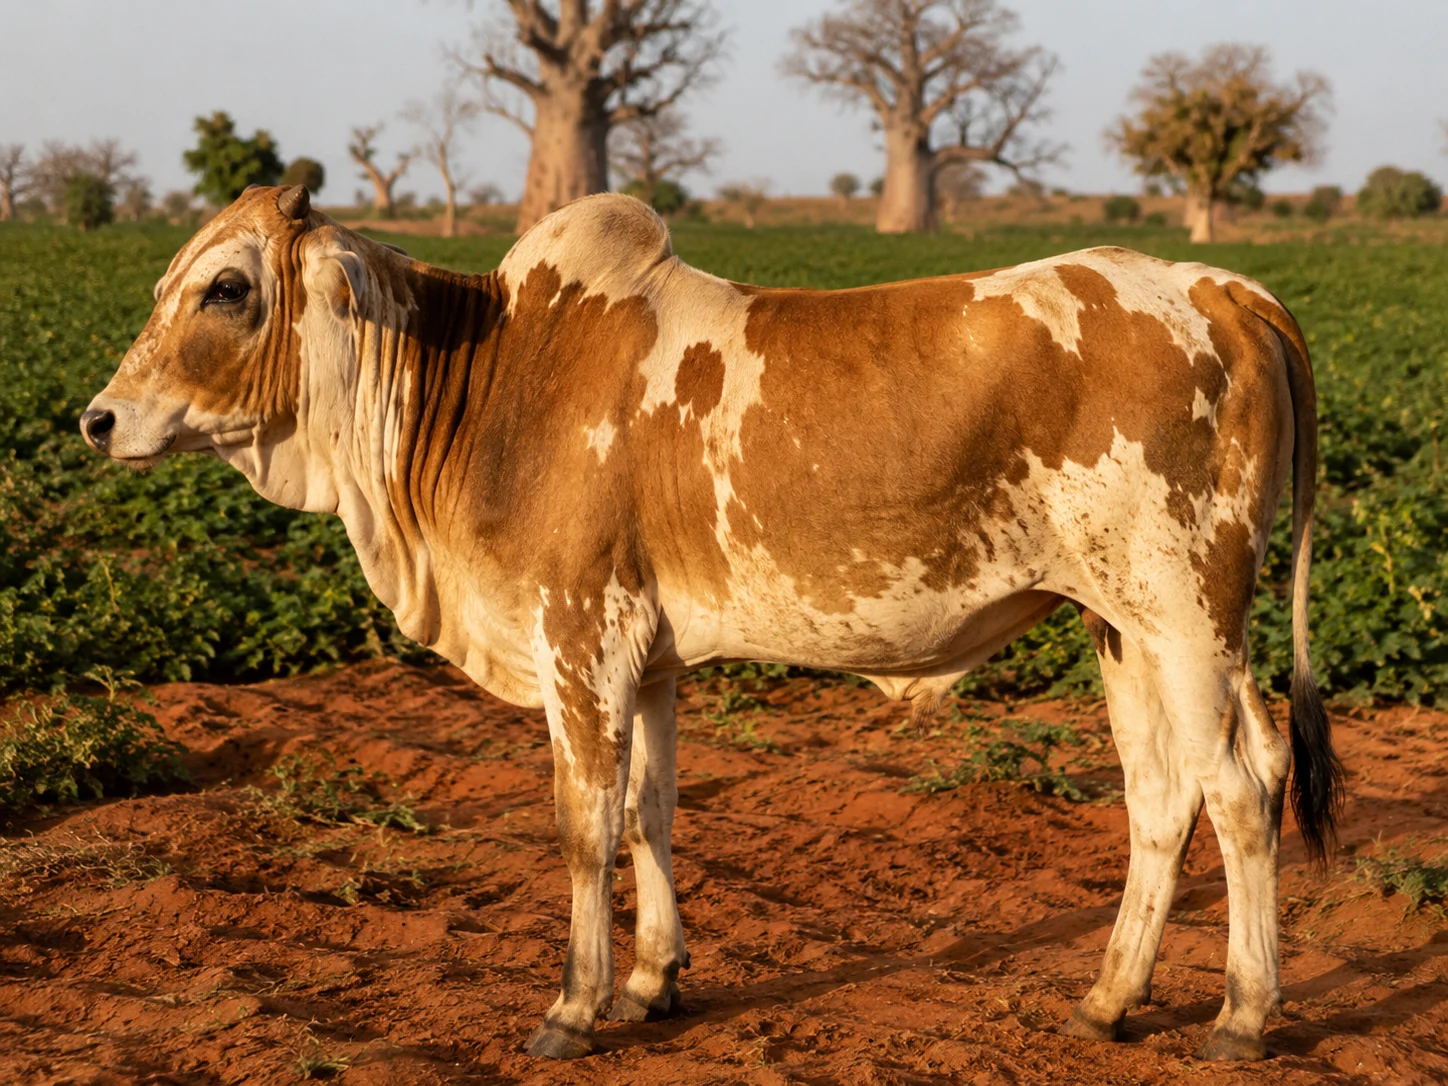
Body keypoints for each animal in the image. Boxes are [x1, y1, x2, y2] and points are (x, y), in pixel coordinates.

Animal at [82, 184, 1342, 1062]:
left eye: (227, 287)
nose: (97, 419)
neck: (492, 382)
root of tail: (1221, 289)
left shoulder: (578, 639)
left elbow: (583, 823)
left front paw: (573, 1005)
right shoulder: (647, 661)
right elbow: (649, 810)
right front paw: (653, 982)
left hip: (1187, 616)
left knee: (1240, 786)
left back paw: (1240, 1015)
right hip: (1122, 627)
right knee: (1160, 796)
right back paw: (1108, 999)